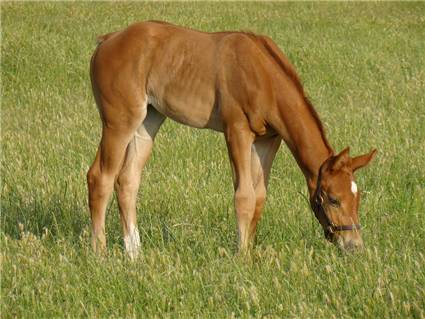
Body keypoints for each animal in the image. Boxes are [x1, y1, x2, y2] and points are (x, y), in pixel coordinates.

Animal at [86, 21, 374, 258]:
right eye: (333, 199)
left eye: (357, 197)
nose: (354, 246)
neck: (263, 74)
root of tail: (107, 40)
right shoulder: (236, 130)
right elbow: (244, 196)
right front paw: (241, 258)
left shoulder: (268, 139)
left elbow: (259, 197)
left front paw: (249, 251)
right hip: (119, 121)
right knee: (100, 177)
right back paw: (100, 254)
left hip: (148, 121)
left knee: (127, 180)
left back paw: (135, 254)